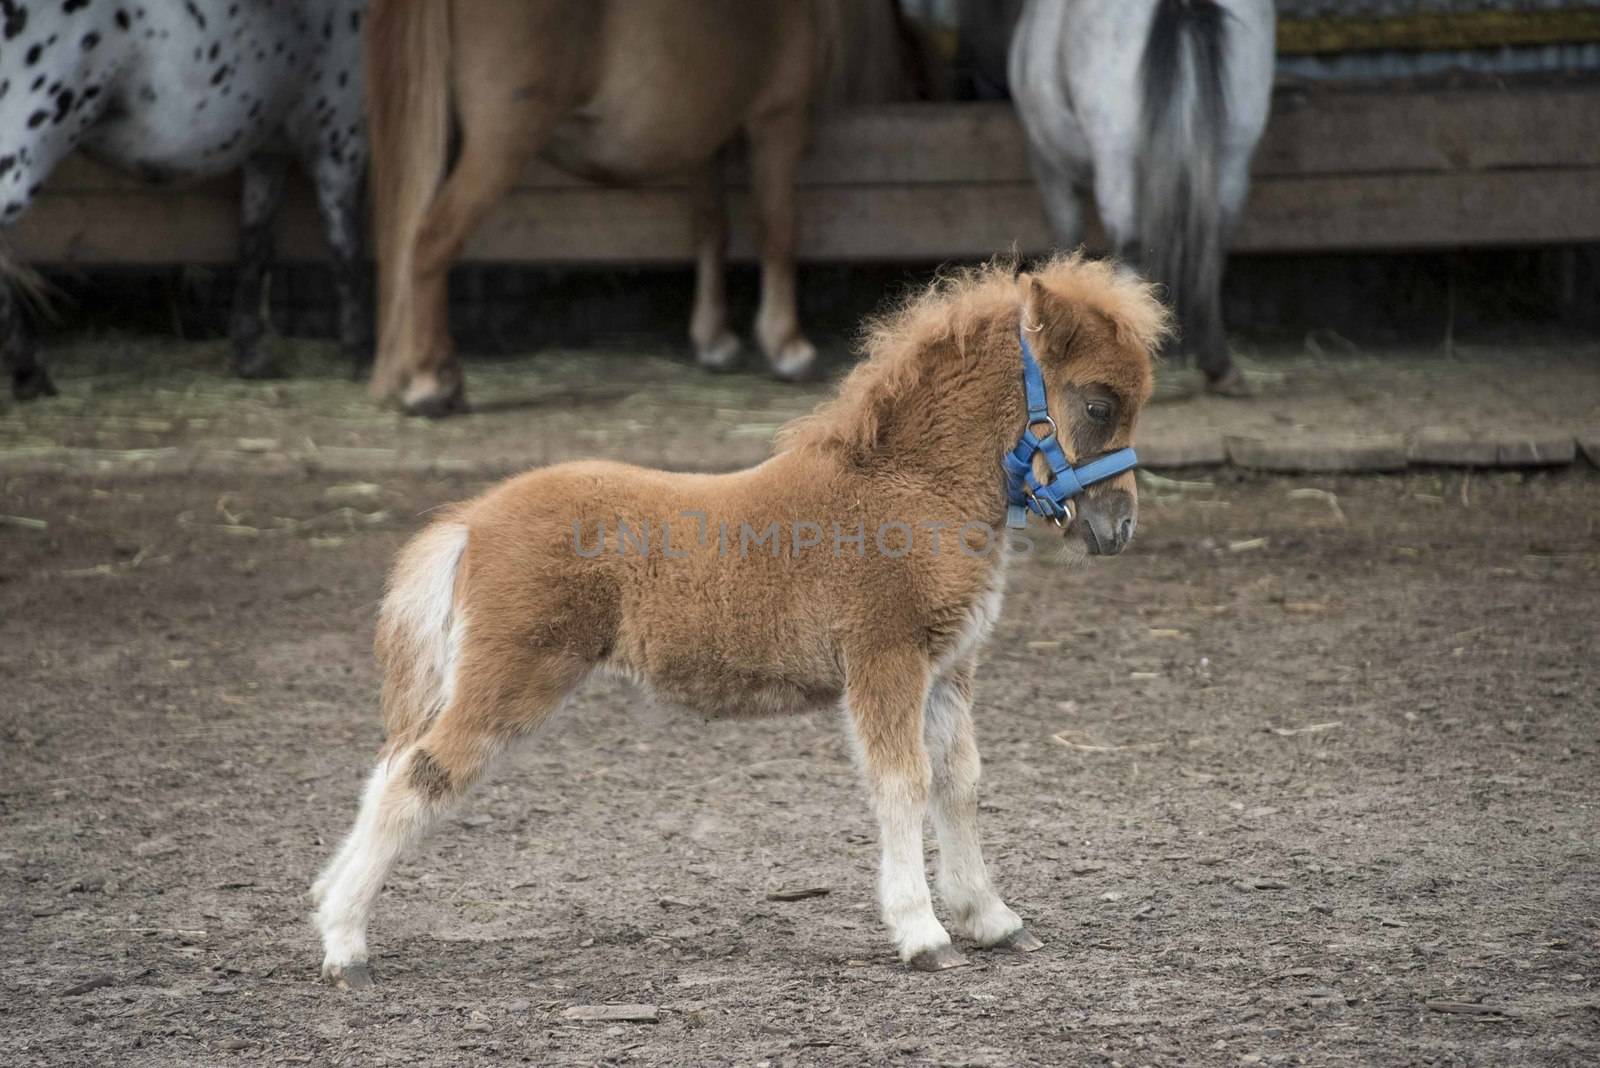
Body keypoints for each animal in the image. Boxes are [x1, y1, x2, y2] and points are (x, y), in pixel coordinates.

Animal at [0, 0, 366, 399]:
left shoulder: (268, 152)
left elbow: (256, 244)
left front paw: (251, 354)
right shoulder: (339, 143)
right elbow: (345, 249)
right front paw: (360, 355)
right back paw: (29, 372)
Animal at [308, 254, 1164, 991]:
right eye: (1097, 402)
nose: (1116, 529)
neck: (911, 490)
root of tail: (473, 521)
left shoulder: (949, 667)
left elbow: (960, 781)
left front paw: (991, 919)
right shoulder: (885, 660)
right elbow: (903, 782)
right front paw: (923, 935)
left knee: (391, 767)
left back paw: (327, 910)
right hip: (513, 675)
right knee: (417, 776)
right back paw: (345, 946)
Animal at [366, 0, 889, 415]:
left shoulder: (704, 142)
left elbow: (711, 228)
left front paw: (714, 341)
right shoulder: (777, 118)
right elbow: (778, 230)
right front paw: (787, 346)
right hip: (501, 142)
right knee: (430, 240)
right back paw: (430, 383)